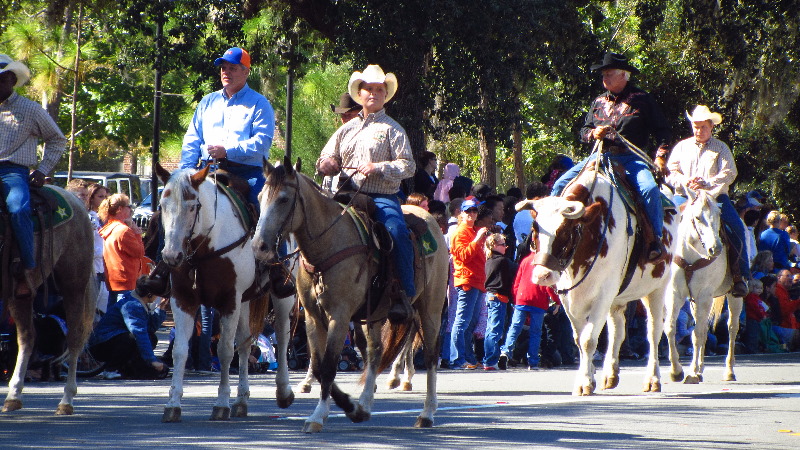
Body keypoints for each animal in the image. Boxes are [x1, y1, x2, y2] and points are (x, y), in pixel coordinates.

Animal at [155, 165, 296, 422]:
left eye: (193, 206)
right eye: (162, 204)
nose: (171, 256)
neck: (205, 247)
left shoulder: (229, 301)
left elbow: (224, 352)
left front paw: (221, 403)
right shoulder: (183, 299)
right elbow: (180, 351)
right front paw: (173, 404)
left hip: (283, 297)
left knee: (281, 337)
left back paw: (283, 391)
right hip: (245, 301)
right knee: (245, 344)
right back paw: (241, 400)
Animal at [516, 167, 680, 396]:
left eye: (565, 231)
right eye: (535, 230)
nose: (542, 275)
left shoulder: (603, 294)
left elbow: (588, 339)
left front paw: (585, 382)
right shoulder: (569, 298)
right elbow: (580, 338)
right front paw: (588, 377)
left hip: (656, 287)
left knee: (655, 330)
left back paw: (656, 378)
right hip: (617, 299)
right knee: (618, 331)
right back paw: (611, 374)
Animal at [664, 189, 744, 384]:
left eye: (719, 214)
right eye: (697, 217)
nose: (716, 249)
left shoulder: (704, 296)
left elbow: (698, 333)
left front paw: (692, 373)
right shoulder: (675, 294)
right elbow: (671, 328)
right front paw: (676, 371)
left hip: (733, 296)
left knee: (732, 328)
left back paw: (729, 371)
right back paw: (700, 369)